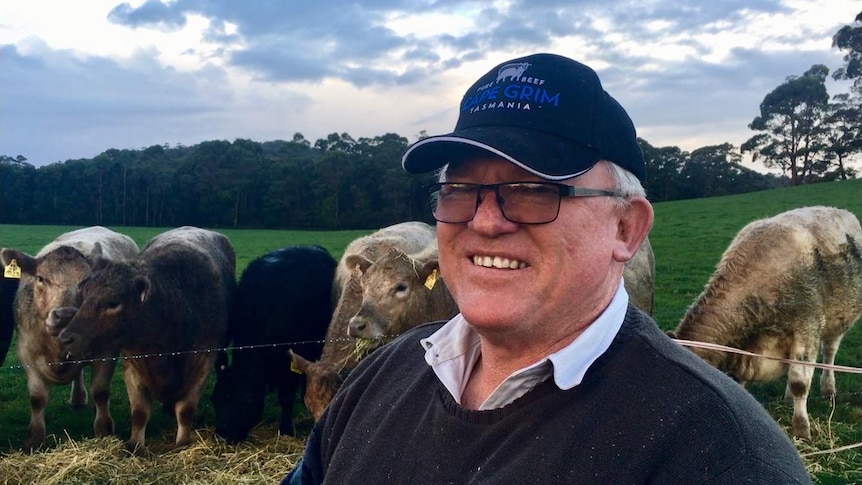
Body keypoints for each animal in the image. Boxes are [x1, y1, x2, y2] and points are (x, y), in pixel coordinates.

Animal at [0, 225, 138, 448]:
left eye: (86, 281)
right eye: (41, 278)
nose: (65, 315)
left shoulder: (107, 350)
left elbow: (101, 391)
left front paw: (104, 431)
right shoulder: (27, 352)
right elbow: (37, 398)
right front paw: (33, 440)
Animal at [54, 227, 236, 450]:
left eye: (113, 303)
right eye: (85, 294)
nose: (65, 338)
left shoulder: (203, 362)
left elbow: (186, 409)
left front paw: (182, 443)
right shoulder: (133, 364)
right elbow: (140, 412)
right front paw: (135, 445)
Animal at [213, 246, 338, 442]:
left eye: (245, 401)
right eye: (215, 399)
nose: (223, 435)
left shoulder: (292, 361)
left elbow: (286, 397)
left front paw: (286, 429)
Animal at [668, 206, 862, 440]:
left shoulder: (807, 329)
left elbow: (799, 383)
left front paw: (801, 430)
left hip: (838, 320)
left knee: (829, 352)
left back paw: (828, 390)